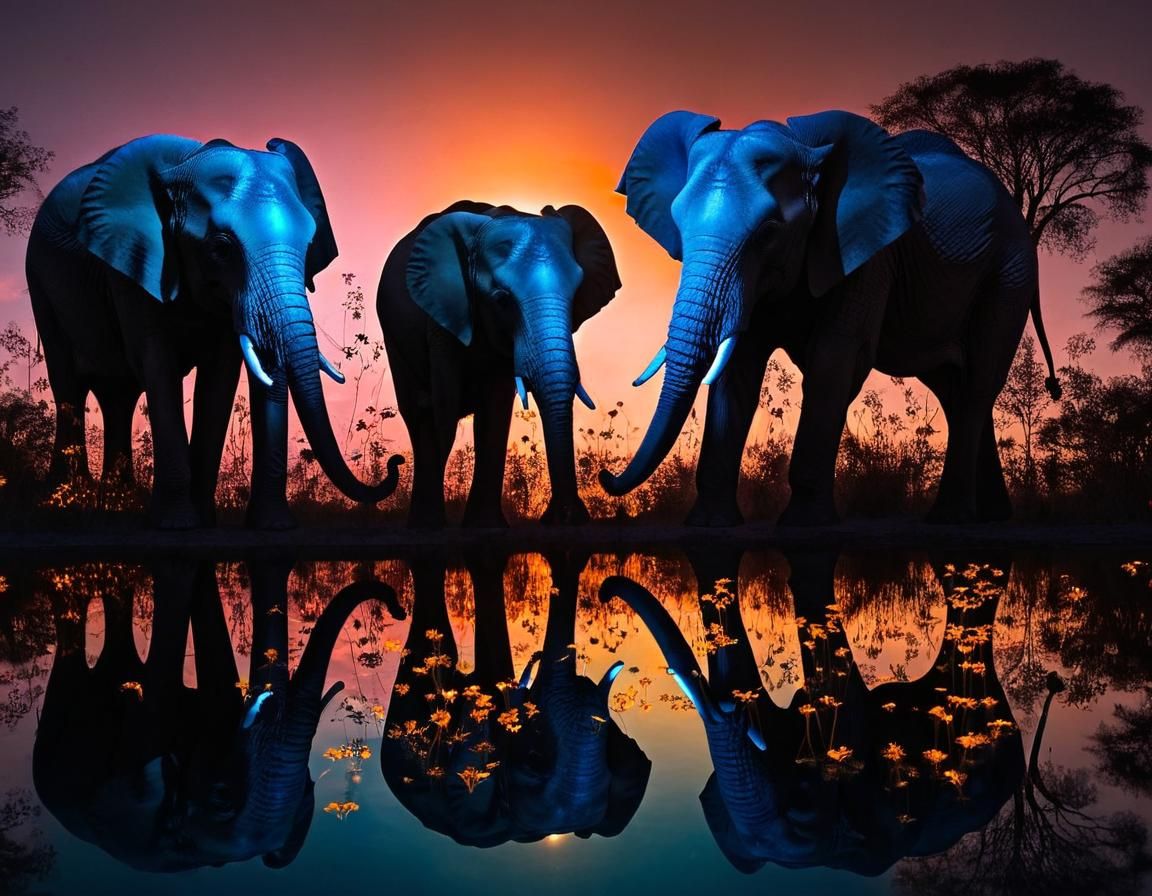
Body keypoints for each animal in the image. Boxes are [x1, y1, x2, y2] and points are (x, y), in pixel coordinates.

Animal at [26, 135, 403, 529]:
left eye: (310, 245)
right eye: (221, 249)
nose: (396, 462)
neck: (185, 164)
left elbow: (221, 376)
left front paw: (258, 525)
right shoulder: (132, 261)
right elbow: (158, 362)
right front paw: (178, 524)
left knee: (119, 397)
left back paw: (118, 505)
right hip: (40, 282)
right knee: (68, 383)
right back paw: (69, 504)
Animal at [377, 200, 621, 527]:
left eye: (576, 296)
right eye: (502, 301)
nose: (565, 516)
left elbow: (495, 407)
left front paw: (486, 526)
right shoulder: (441, 315)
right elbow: (444, 406)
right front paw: (440, 526)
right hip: (393, 336)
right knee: (418, 412)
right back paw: (422, 523)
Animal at [599, 110, 1061, 526]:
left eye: (768, 232)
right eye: (677, 225)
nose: (606, 476)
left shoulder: (867, 256)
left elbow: (834, 359)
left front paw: (804, 523)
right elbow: (739, 367)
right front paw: (710, 523)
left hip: (1009, 275)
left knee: (978, 384)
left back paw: (952, 519)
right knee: (954, 389)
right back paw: (992, 517)